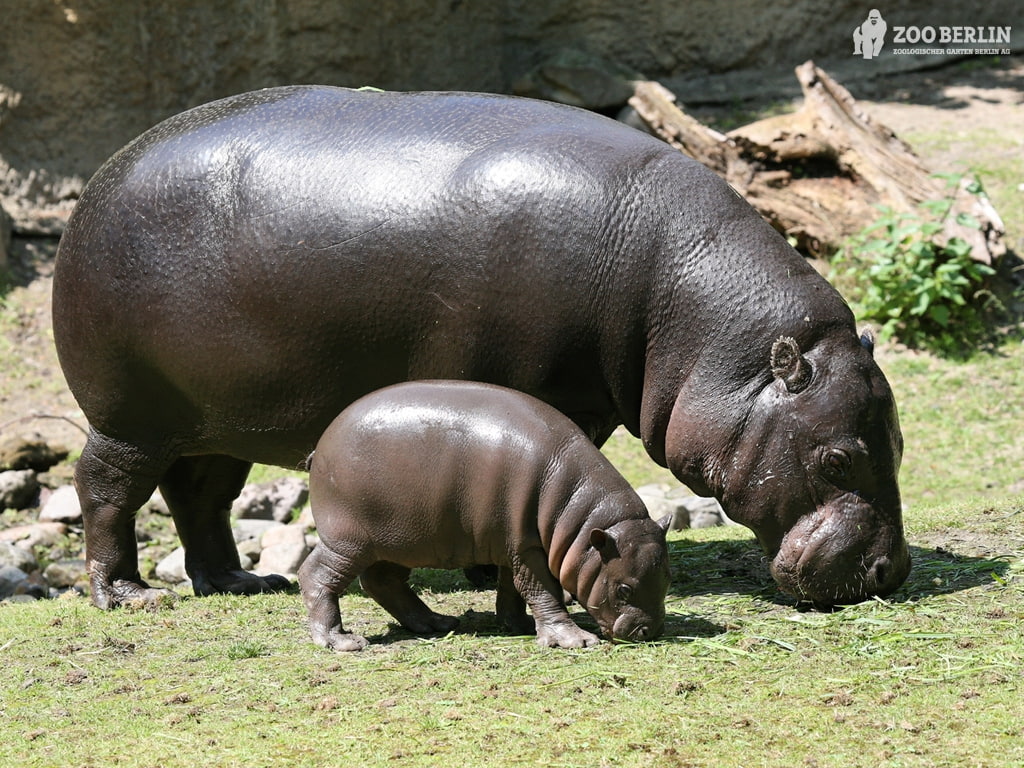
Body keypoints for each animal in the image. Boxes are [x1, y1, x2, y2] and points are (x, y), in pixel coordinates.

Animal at [52, 85, 910, 610]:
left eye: (898, 442)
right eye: (837, 458)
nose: (891, 571)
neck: (700, 327)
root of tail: (96, 182)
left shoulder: (582, 403)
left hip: (220, 417)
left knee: (199, 495)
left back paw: (234, 582)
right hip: (130, 414)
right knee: (107, 491)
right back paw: (127, 595)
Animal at [298, 380, 671, 651]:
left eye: (666, 577)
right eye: (623, 588)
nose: (649, 631)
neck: (581, 520)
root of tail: (318, 447)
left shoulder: (515, 544)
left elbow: (514, 589)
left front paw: (520, 626)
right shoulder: (527, 547)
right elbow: (543, 590)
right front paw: (575, 640)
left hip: (398, 542)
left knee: (382, 581)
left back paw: (438, 623)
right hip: (349, 539)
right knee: (316, 575)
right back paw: (342, 642)